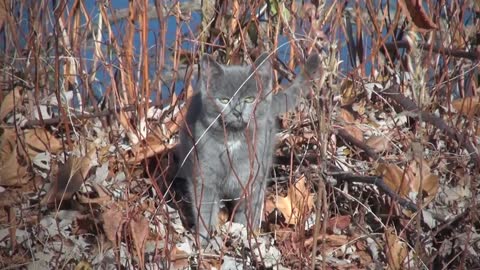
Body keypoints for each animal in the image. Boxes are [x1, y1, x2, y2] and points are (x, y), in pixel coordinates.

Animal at [174, 51, 320, 245]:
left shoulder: (252, 178)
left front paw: (246, 235)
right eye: (224, 100)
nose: (237, 111)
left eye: (249, 99)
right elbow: (204, 209)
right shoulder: (204, 175)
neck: (233, 140)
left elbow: (248, 210)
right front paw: (204, 240)